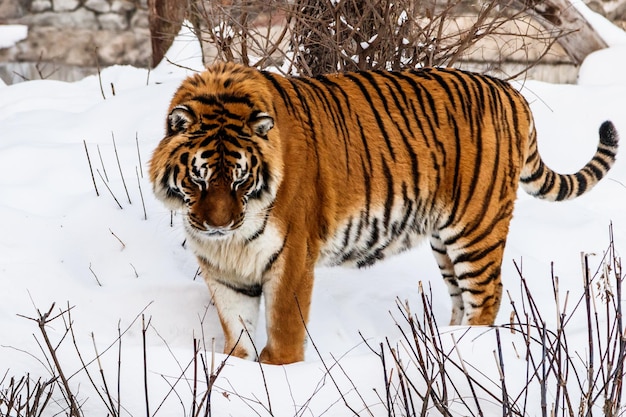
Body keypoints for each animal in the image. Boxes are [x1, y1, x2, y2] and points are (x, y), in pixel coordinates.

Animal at [149, 61, 616, 364]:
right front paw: (238, 370)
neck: (231, 242)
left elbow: (283, 332)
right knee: (461, 298)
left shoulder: (291, 257)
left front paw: (280, 376)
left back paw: (468, 351)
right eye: (199, 179)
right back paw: (444, 344)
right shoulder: (224, 270)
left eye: (241, 180)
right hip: (444, 240)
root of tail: (510, 93)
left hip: (476, 228)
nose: (218, 225)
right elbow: (237, 334)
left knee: (488, 295)